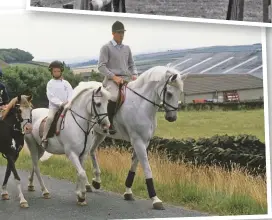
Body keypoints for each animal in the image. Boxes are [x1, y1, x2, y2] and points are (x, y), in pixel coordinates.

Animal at [84, 65, 187, 210]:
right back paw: (87, 184)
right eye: (170, 93)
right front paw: (155, 199)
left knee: (92, 152)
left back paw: (96, 181)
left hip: (100, 134)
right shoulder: (138, 141)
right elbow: (146, 167)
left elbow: (134, 164)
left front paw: (128, 192)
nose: (172, 118)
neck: (141, 104)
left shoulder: (144, 141)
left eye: (180, 92)